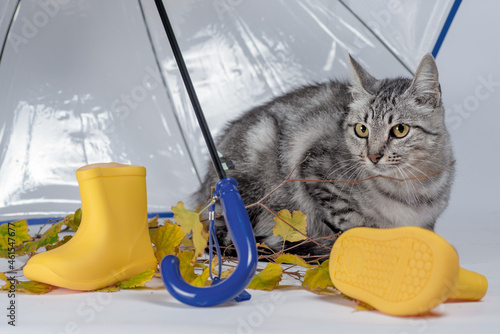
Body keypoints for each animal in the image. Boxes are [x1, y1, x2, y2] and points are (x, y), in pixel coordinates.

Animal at [194, 54, 454, 258]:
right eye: (362, 129)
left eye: (400, 130)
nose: (373, 156)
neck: (409, 187)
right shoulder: (314, 170)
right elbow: (352, 222)